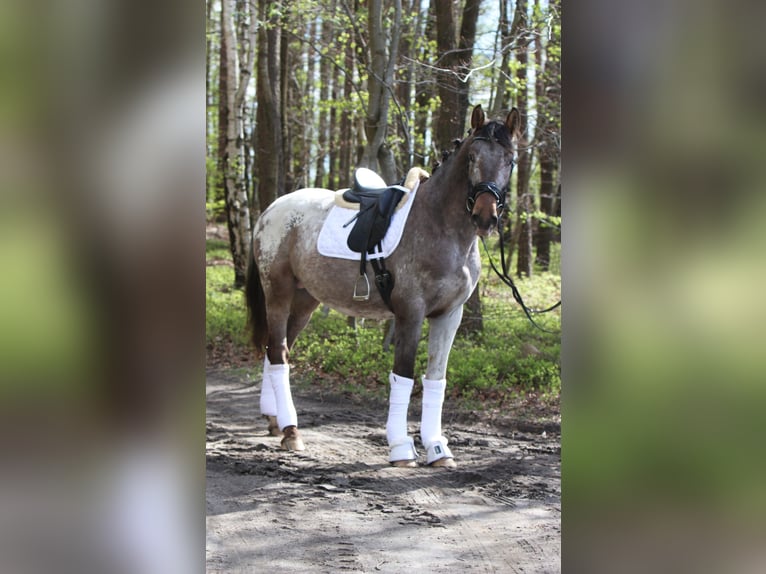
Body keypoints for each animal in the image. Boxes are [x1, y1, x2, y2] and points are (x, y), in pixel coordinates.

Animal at [246, 106, 520, 470]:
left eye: (509, 159)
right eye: (472, 157)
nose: (485, 216)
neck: (440, 225)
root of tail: (270, 211)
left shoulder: (449, 315)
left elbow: (436, 379)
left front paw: (438, 449)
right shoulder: (411, 313)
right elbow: (403, 376)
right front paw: (401, 447)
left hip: (305, 302)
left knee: (276, 349)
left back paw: (275, 421)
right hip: (278, 293)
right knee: (278, 352)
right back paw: (291, 432)